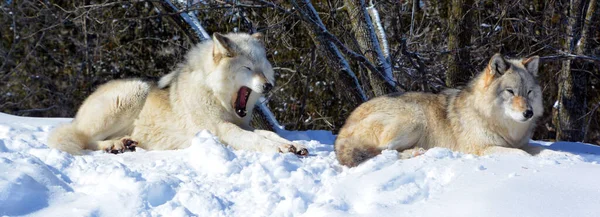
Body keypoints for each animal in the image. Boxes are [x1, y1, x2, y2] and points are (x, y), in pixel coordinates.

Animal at [48, 31, 308, 156]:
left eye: (262, 67)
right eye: (247, 68)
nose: (269, 86)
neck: (215, 95)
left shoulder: (243, 124)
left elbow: (268, 133)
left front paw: (293, 145)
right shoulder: (222, 130)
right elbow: (257, 139)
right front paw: (281, 150)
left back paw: (124, 143)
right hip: (135, 90)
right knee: (82, 139)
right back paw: (115, 145)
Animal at [336, 53, 548, 166]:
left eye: (529, 92)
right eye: (510, 92)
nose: (528, 113)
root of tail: (344, 127)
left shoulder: (520, 143)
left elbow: (540, 149)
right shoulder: (481, 148)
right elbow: (522, 154)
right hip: (414, 119)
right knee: (382, 152)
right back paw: (414, 153)